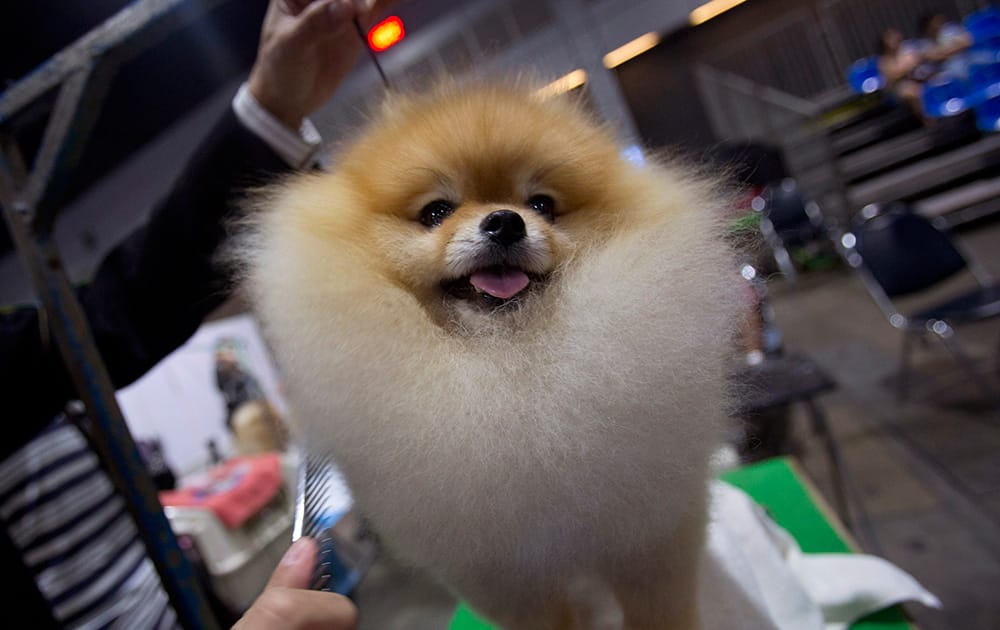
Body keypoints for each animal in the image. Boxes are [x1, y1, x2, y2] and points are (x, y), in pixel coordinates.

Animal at [238, 80, 744, 630]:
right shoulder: (503, 574)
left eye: (542, 204)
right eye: (436, 212)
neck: (506, 358)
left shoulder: (650, 531)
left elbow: (661, 607)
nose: (505, 221)